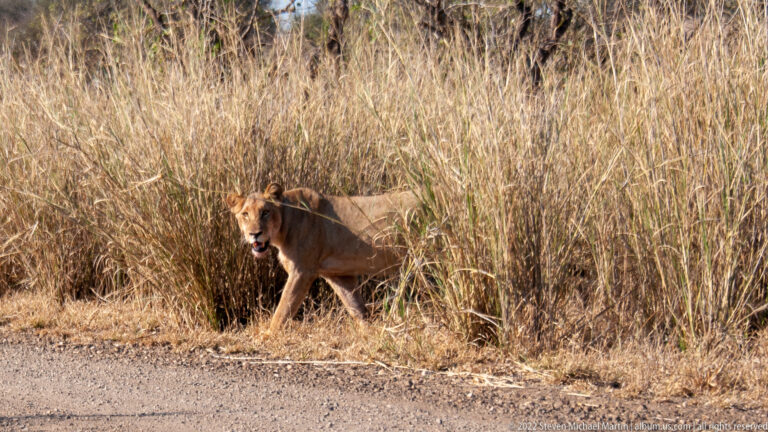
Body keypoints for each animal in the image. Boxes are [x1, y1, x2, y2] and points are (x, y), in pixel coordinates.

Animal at [225, 183, 420, 332]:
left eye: (265, 212)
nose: (254, 234)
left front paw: (267, 336)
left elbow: (283, 309)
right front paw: (370, 332)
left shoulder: (302, 271)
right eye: (245, 214)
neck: (284, 228)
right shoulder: (337, 275)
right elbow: (355, 307)